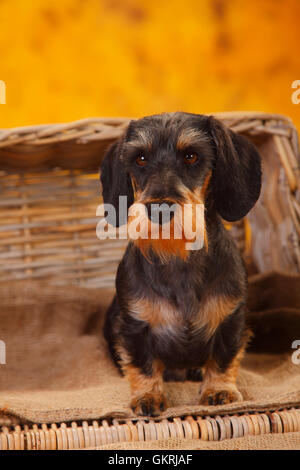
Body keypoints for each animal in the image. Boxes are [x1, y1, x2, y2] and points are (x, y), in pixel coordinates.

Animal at [99, 112, 262, 416]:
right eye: (140, 158)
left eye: (191, 155)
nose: (158, 210)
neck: (178, 258)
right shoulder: (134, 326)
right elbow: (142, 364)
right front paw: (148, 396)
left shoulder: (231, 320)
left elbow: (223, 357)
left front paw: (218, 390)